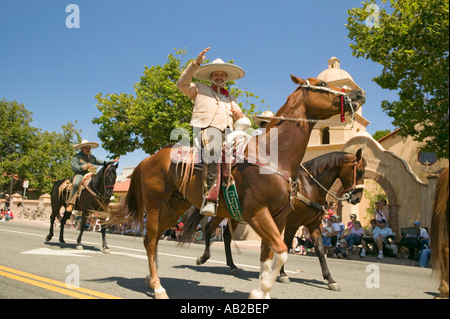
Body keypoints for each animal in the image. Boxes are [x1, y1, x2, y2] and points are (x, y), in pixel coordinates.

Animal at [185, 150, 364, 292]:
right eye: (360, 171)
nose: (357, 198)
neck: (308, 187)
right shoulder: (292, 223)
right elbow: (286, 244)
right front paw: (283, 274)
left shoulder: (314, 225)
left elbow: (320, 250)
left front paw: (329, 279)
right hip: (222, 214)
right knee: (209, 229)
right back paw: (204, 257)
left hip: (233, 215)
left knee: (227, 236)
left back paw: (232, 265)